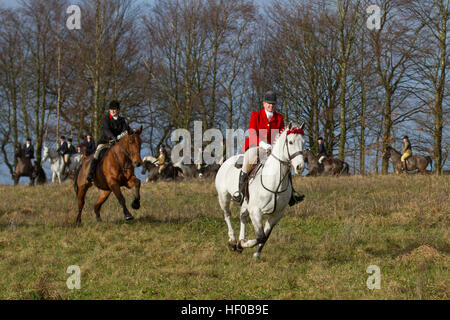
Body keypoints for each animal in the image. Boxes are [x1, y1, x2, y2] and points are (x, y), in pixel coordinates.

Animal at [214, 123, 306, 260]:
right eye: (290, 142)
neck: (275, 183)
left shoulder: (276, 215)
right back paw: (233, 241)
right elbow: (260, 236)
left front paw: (255, 254)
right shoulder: (256, 211)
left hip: (246, 203)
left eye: (304, 142)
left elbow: (265, 237)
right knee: (227, 215)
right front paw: (243, 244)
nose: (300, 167)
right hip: (223, 197)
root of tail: (226, 161)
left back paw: (240, 239)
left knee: (242, 216)